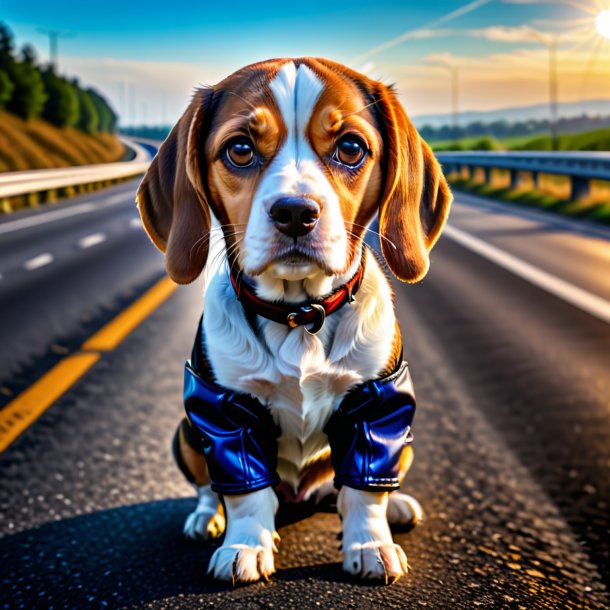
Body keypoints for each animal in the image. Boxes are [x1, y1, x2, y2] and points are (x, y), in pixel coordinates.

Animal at [138, 58, 452, 584]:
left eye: (351, 147)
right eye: (240, 149)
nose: (295, 212)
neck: (299, 315)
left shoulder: (380, 403)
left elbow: (364, 491)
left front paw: (370, 544)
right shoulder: (224, 411)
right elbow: (245, 493)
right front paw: (244, 546)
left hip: (403, 439)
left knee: (355, 487)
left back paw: (396, 506)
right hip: (185, 431)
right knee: (210, 487)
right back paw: (206, 518)